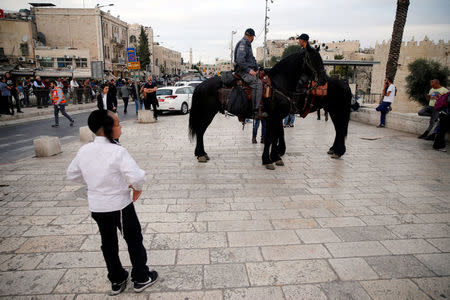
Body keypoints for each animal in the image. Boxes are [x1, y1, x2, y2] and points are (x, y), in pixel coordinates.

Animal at [186, 47, 352, 169]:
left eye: (321, 58)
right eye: (312, 59)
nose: (323, 79)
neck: (278, 84)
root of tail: (200, 85)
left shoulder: (275, 116)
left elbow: (273, 136)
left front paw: (274, 156)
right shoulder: (274, 116)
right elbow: (273, 136)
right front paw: (269, 159)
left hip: (335, 111)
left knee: (339, 128)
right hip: (207, 112)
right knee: (200, 131)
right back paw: (201, 154)